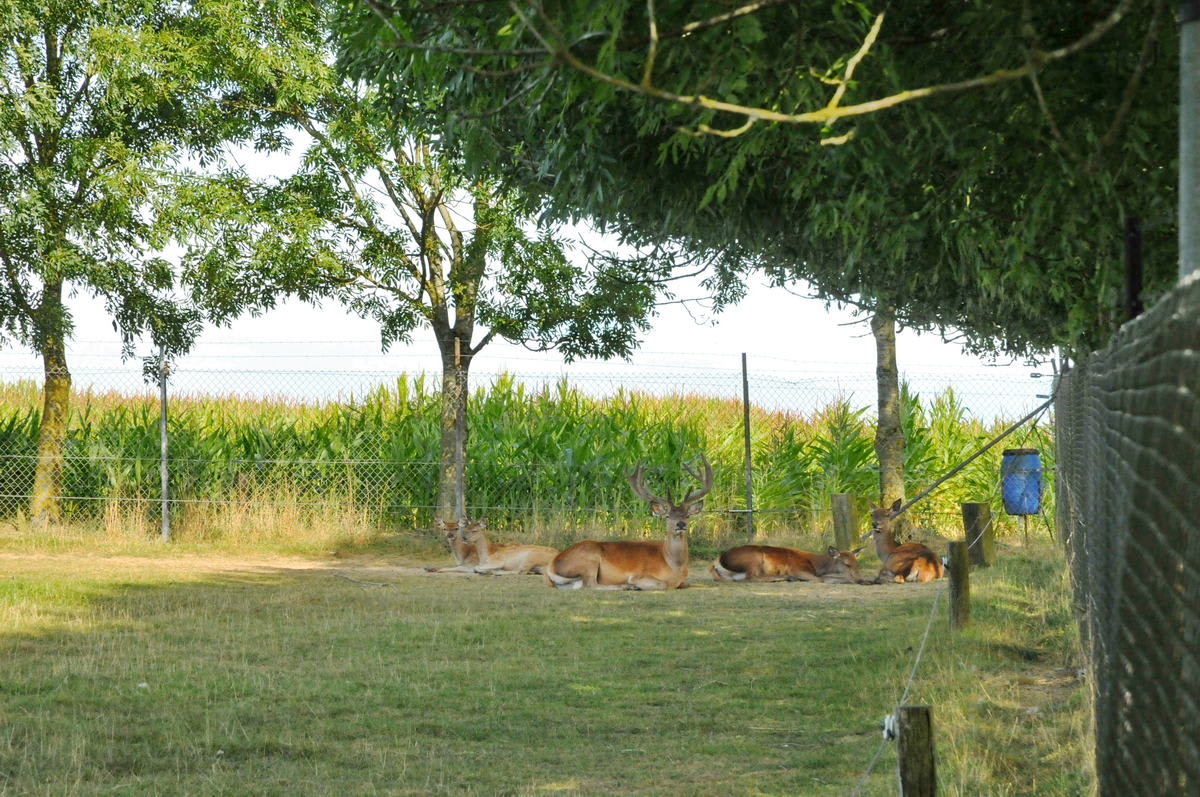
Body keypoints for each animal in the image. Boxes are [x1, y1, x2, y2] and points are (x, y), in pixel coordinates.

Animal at [424, 520, 554, 576]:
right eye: (444, 528)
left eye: (456, 528)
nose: (450, 535)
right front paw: (429, 567)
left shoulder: (471, 565)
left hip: (530, 558)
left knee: (521, 571)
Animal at [544, 453, 710, 590]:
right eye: (668, 516)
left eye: (687, 515)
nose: (680, 524)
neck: (674, 566)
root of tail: (551, 566)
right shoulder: (640, 574)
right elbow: (662, 585)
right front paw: (635, 585)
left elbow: (690, 583)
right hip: (589, 559)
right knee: (590, 585)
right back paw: (626, 586)